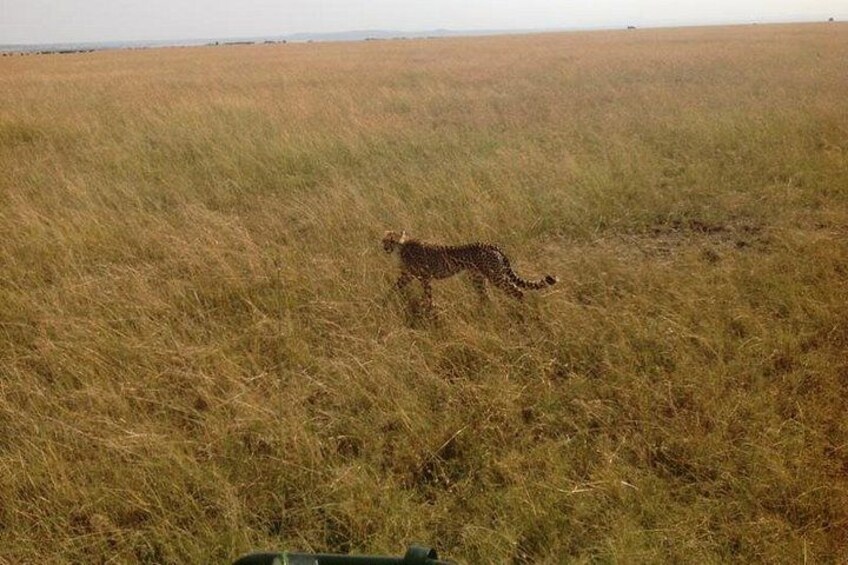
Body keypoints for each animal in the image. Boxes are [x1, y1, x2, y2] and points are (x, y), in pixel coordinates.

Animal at [382, 230, 557, 308]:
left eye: (391, 241)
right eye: (384, 240)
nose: (384, 248)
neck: (401, 247)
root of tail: (488, 244)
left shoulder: (424, 277)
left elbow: (428, 294)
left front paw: (429, 308)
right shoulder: (408, 275)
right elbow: (394, 287)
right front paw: (385, 299)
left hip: (495, 276)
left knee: (517, 291)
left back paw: (521, 308)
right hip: (478, 278)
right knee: (486, 296)